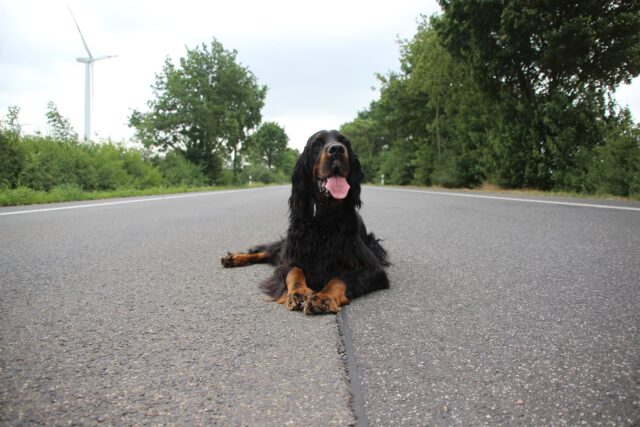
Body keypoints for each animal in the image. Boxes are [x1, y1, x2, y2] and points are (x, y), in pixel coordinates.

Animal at [220, 130, 390, 314]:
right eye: (317, 143)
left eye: (345, 142)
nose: (337, 150)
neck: (324, 216)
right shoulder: (291, 256)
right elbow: (294, 270)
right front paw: (298, 293)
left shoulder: (374, 269)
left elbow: (340, 278)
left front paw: (324, 297)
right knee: (265, 252)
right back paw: (234, 258)